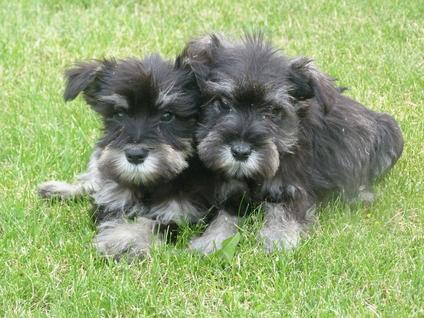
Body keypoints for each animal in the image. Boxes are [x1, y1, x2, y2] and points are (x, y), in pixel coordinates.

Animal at [38, 54, 212, 258]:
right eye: (119, 113)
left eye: (167, 115)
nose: (135, 155)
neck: (149, 184)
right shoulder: (111, 201)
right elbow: (111, 212)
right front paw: (119, 238)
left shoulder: (179, 214)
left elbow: (150, 223)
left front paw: (123, 241)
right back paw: (58, 190)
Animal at [181, 34, 402, 253]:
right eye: (223, 102)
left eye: (273, 111)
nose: (240, 152)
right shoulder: (230, 193)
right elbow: (224, 216)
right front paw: (210, 241)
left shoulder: (294, 187)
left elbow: (284, 209)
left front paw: (278, 238)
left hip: (392, 133)